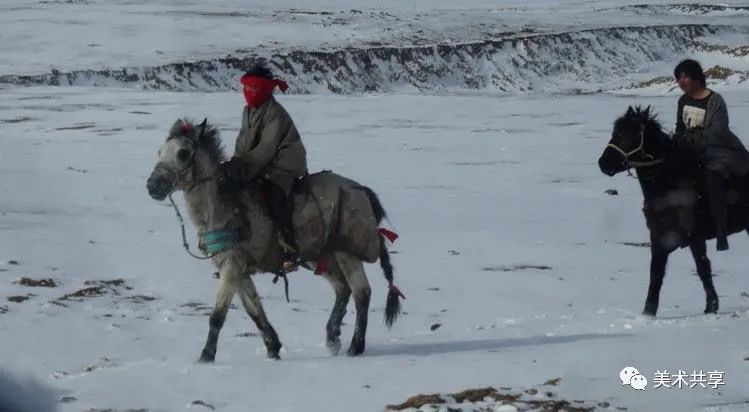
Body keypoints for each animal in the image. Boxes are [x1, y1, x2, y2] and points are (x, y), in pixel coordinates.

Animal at [147, 118, 404, 360]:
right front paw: (273, 348)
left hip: (347, 253)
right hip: (321, 256)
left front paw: (206, 357)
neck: (221, 208)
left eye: (183, 152)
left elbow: (218, 315)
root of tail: (362, 191)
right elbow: (254, 309)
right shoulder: (236, 269)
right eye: (160, 151)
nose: (152, 186)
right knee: (343, 289)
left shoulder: (231, 266)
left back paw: (355, 346)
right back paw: (333, 338)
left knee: (361, 292)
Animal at [600, 105, 749, 316]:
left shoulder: (695, 237)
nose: (603, 164)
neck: (670, 185)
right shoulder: (659, 237)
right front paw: (648, 312)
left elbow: (703, 267)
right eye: (615, 132)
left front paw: (711, 306)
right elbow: (656, 272)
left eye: (630, 135)